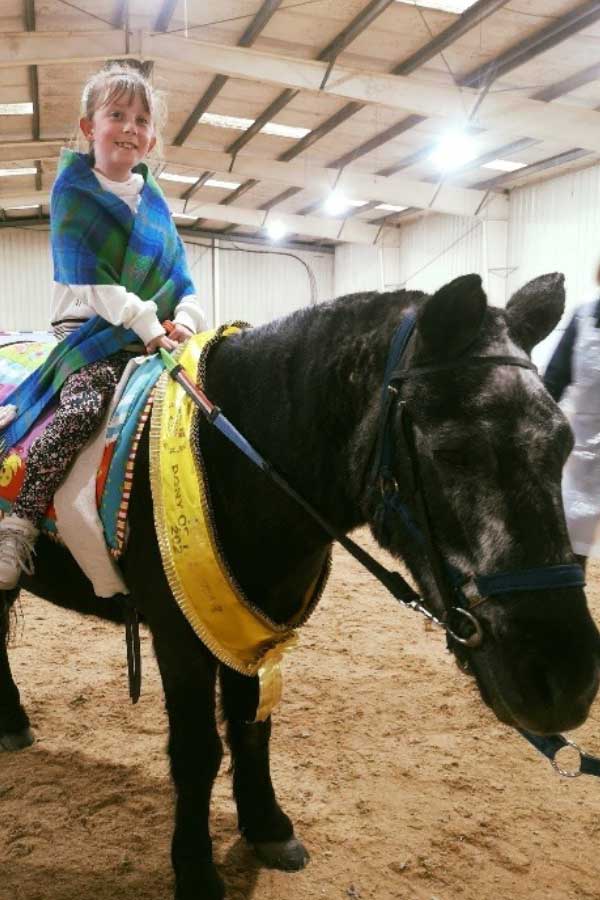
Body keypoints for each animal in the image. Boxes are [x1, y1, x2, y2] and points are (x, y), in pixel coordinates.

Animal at [1, 274, 600, 900]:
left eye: (564, 444)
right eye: (452, 452)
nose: (565, 681)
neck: (234, 458)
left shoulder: (248, 628)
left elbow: (251, 729)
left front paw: (268, 827)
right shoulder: (180, 636)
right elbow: (197, 750)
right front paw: (195, 870)